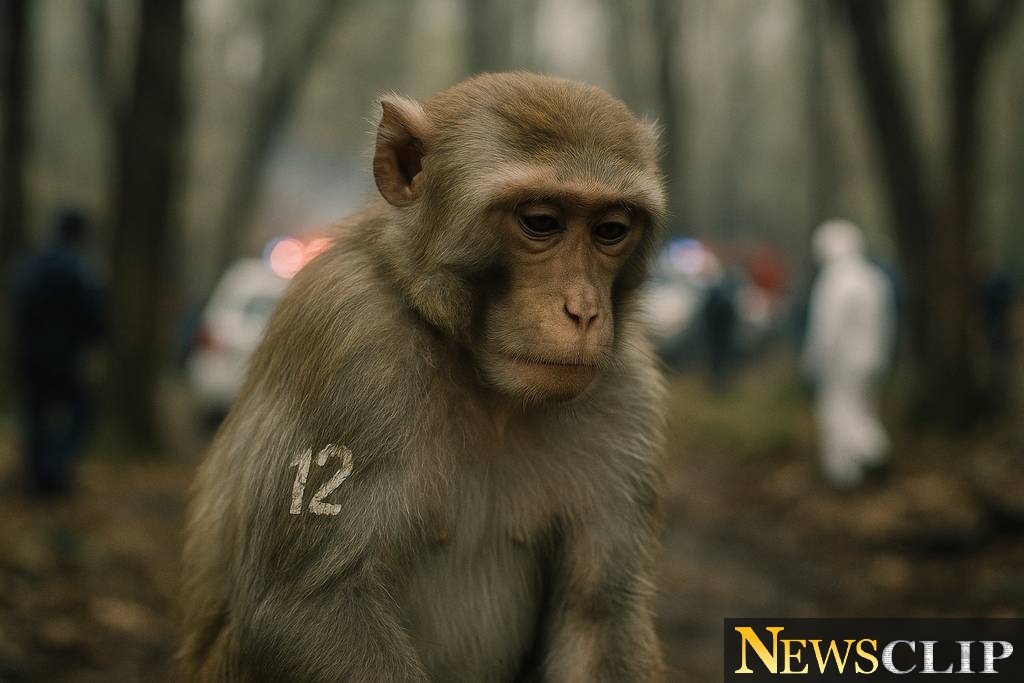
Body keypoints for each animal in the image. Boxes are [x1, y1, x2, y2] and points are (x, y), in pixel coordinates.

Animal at [180, 72, 668, 682]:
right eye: (541, 222)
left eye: (610, 230)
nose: (582, 311)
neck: (485, 381)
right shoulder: (350, 338)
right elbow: (307, 606)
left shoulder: (627, 389)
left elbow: (596, 615)